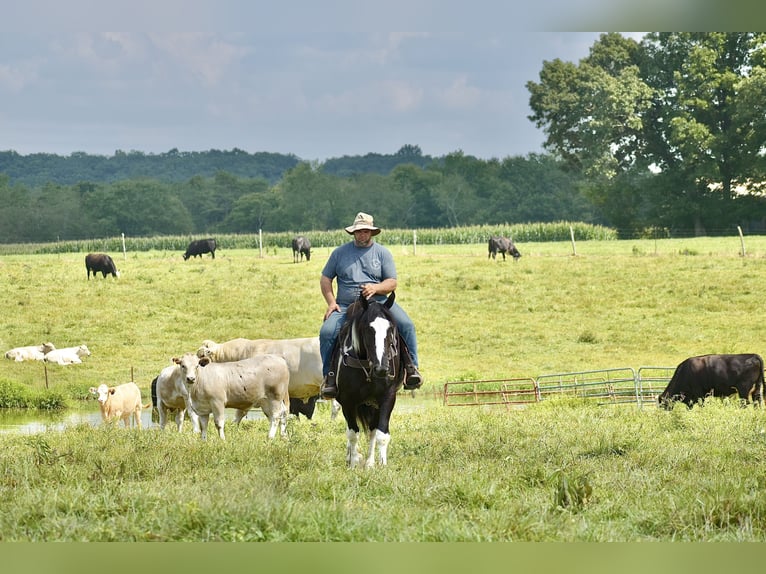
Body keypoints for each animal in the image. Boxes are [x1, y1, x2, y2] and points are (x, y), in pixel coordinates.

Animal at [336, 292, 408, 468]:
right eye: (368, 329)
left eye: (390, 329)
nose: (381, 369)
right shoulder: (347, 401)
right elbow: (352, 433)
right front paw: (353, 464)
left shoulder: (388, 398)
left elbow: (381, 434)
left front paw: (381, 464)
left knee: (372, 431)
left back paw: (369, 462)